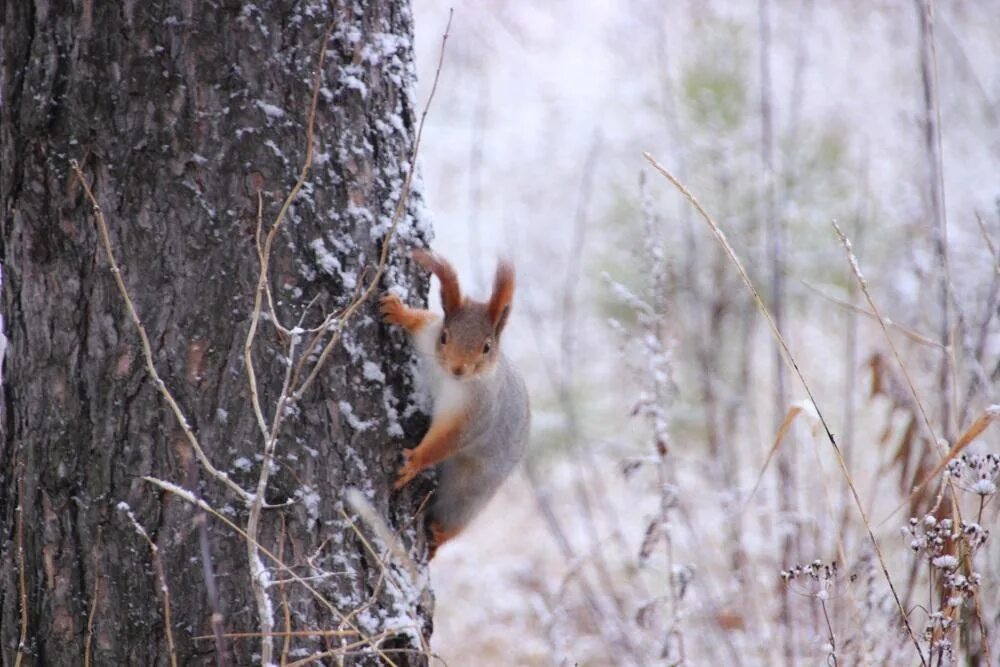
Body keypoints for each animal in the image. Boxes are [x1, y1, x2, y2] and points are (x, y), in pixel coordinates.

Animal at [380, 247, 532, 560]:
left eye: (487, 347)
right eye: (445, 336)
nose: (458, 368)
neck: (449, 379)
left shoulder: (476, 412)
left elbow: (448, 439)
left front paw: (413, 462)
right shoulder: (428, 335)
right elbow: (420, 321)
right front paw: (398, 311)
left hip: (471, 490)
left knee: (454, 519)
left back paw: (438, 536)